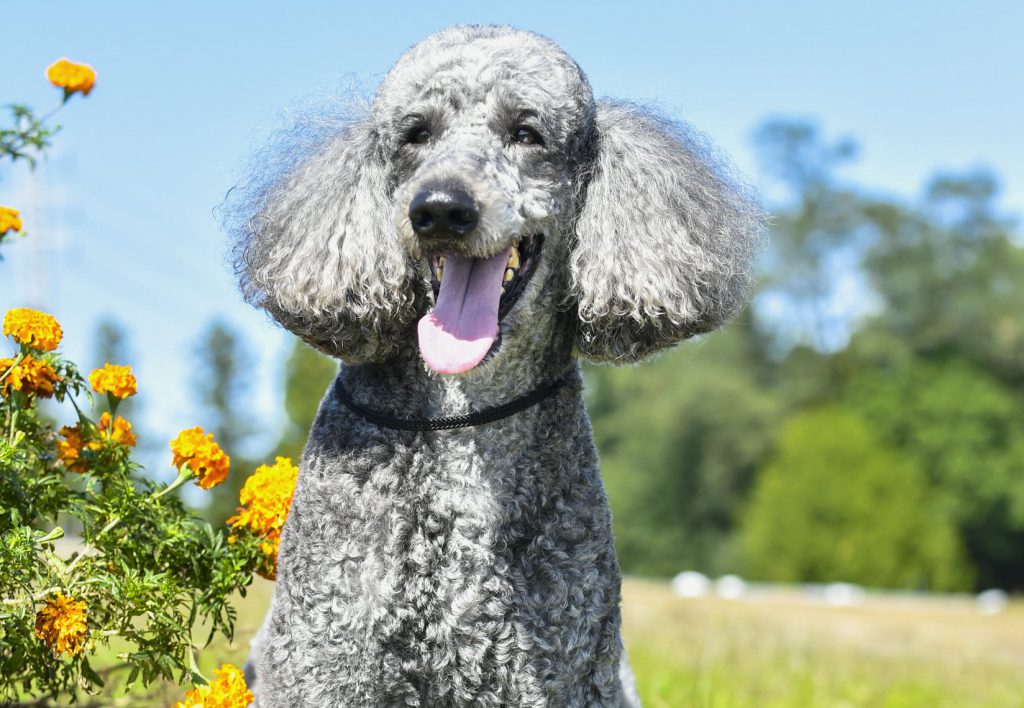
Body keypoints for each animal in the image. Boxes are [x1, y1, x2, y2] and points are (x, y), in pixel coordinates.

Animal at [226, 23, 761, 708]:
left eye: (526, 133)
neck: (464, 426)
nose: (440, 209)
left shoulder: (551, 676)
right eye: (417, 133)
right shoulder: (324, 665)